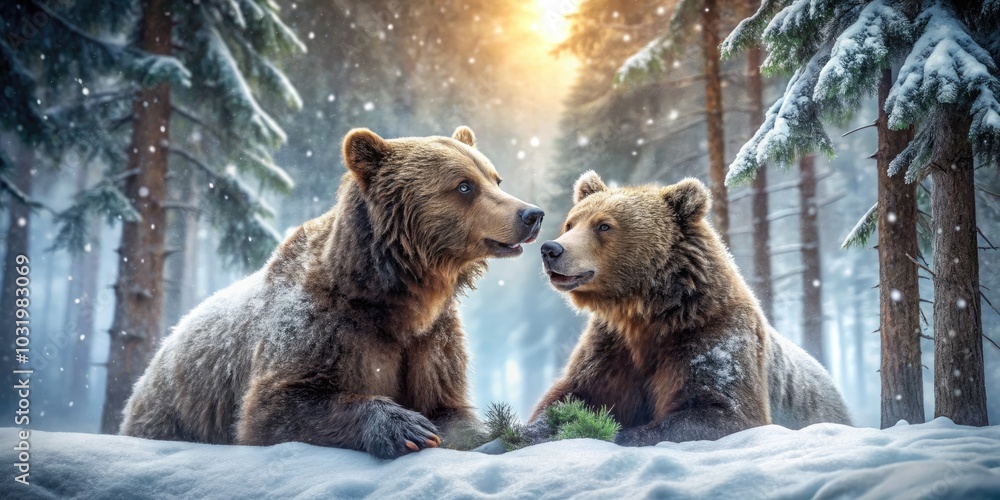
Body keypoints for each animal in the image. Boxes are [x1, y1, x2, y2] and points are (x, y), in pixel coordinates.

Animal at [120, 126, 545, 459]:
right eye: (463, 185)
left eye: (494, 178)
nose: (531, 214)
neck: (394, 295)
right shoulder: (322, 327)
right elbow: (273, 408)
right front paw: (406, 427)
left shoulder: (432, 338)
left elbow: (449, 404)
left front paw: (497, 433)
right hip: (174, 410)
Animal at [528, 171, 850, 446]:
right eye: (571, 223)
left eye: (604, 225)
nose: (551, 249)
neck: (645, 311)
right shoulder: (611, 348)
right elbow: (572, 394)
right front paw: (533, 432)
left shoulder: (710, 338)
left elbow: (720, 410)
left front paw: (615, 433)